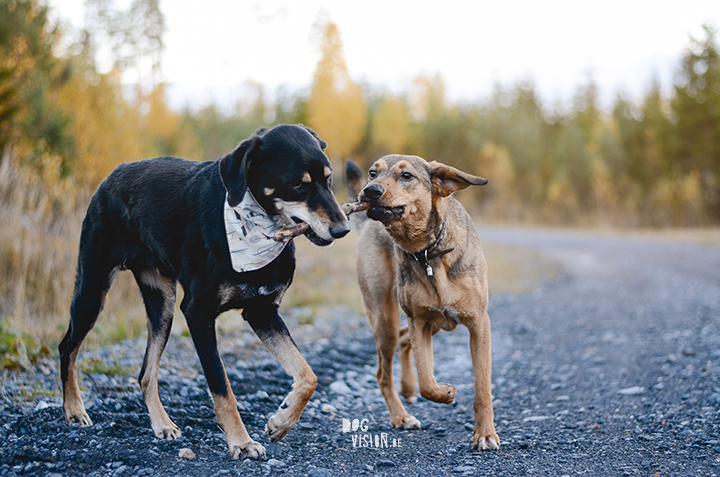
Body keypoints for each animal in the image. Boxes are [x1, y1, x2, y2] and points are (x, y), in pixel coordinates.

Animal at [59, 124, 352, 460]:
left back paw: (161, 424)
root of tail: (112, 175)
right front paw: (241, 442)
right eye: (297, 185)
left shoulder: (262, 312)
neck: (257, 230)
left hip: (162, 306)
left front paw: (281, 421)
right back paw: (74, 409)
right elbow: (222, 387)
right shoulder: (198, 314)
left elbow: (308, 375)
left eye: (329, 179)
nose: (343, 230)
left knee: (146, 372)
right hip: (92, 291)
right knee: (67, 348)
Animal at [346, 155, 498, 450]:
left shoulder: (478, 324)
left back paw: (407, 388)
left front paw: (485, 434)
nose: (369, 191)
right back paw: (401, 415)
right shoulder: (419, 321)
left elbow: (482, 388)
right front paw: (446, 392)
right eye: (373, 172)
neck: (427, 252)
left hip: (434, 323)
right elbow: (427, 381)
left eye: (407, 176)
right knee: (383, 373)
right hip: (387, 320)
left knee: (404, 342)